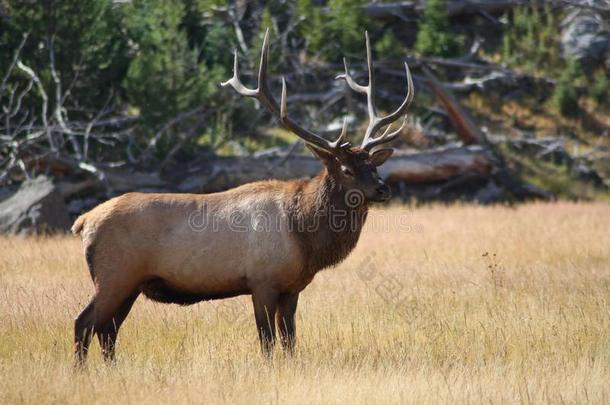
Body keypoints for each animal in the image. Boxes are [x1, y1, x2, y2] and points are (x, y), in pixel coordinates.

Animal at [71, 29, 414, 362]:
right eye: (345, 169)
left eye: (372, 164)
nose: (383, 189)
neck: (304, 235)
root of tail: (83, 221)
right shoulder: (261, 281)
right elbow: (268, 341)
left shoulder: (292, 288)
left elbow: (290, 341)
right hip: (115, 275)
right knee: (85, 323)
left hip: (130, 284)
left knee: (107, 330)